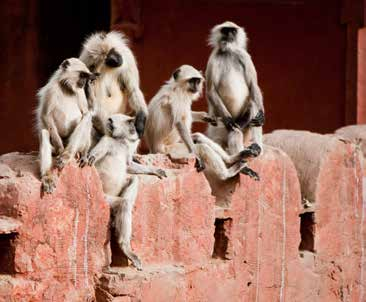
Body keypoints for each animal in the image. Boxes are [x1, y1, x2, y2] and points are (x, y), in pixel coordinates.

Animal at [36, 57, 97, 192]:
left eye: (86, 77)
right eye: (82, 75)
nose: (84, 83)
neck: (66, 88)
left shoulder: (80, 92)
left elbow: (87, 113)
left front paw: (66, 156)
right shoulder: (51, 89)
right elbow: (45, 115)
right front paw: (60, 149)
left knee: (85, 118)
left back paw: (76, 154)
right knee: (44, 133)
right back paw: (47, 176)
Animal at [81, 114, 167, 272]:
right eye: (109, 120)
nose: (107, 123)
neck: (119, 142)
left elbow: (129, 166)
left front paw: (155, 170)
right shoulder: (107, 140)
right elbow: (92, 158)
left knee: (133, 180)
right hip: (105, 198)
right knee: (123, 204)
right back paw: (125, 245)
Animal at [204, 21, 264, 158]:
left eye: (233, 31)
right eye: (225, 30)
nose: (229, 35)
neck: (228, 52)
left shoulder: (244, 55)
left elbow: (253, 85)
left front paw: (261, 114)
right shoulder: (213, 58)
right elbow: (211, 90)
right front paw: (229, 120)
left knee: (253, 108)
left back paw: (257, 147)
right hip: (217, 129)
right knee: (234, 132)